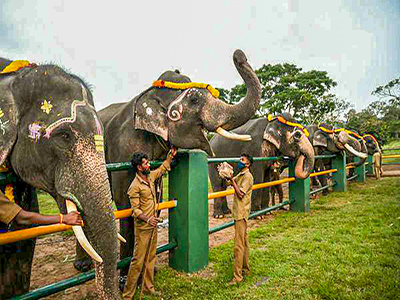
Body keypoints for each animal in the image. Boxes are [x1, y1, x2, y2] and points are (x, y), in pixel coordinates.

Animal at [87, 49, 260, 278]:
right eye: (194, 99)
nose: (239, 54)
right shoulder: (123, 148)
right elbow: (125, 203)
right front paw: (125, 276)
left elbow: (157, 199)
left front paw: (151, 270)